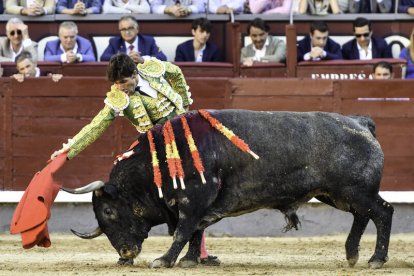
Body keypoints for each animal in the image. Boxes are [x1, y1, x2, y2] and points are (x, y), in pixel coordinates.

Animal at [64, 110, 392, 270]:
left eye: (108, 211)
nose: (125, 253)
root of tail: (361, 123)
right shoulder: (199, 205)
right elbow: (195, 231)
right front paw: (190, 261)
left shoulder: (194, 199)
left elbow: (184, 231)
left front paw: (165, 261)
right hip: (336, 193)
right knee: (363, 216)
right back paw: (352, 254)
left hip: (353, 190)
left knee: (383, 212)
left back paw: (375, 259)